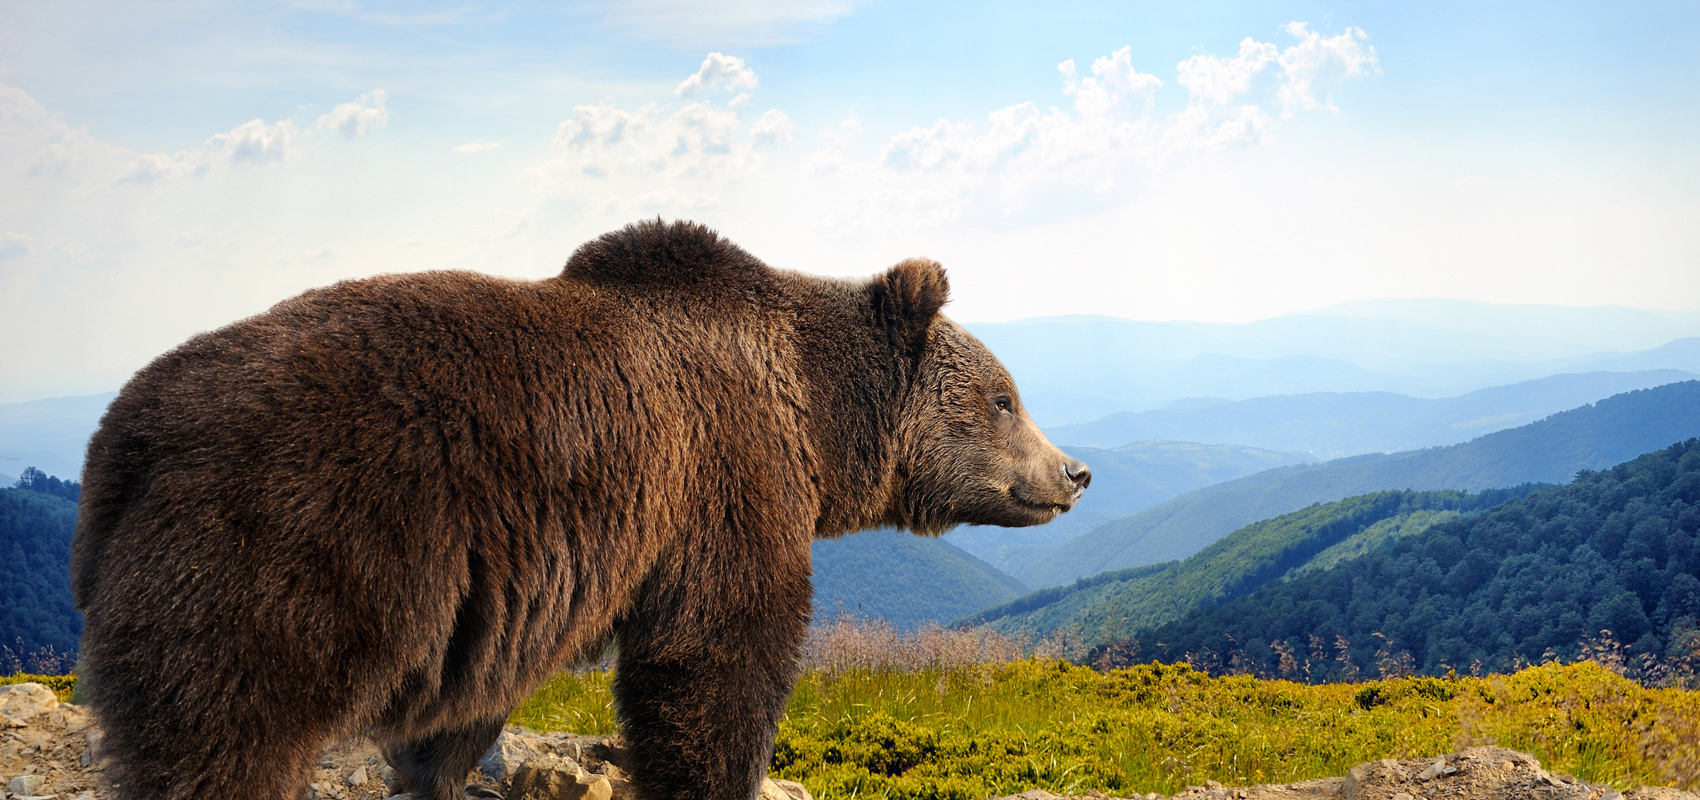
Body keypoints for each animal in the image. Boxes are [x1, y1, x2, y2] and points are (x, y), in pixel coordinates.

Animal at [69, 219, 1088, 800]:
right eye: (1005, 397)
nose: (1074, 473)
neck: (815, 415)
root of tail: (124, 436)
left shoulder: (507, 588)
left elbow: (469, 705)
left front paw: (436, 773)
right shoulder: (723, 479)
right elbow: (718, 655)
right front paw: (718, 773)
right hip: (284, 551)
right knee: (225, 733)